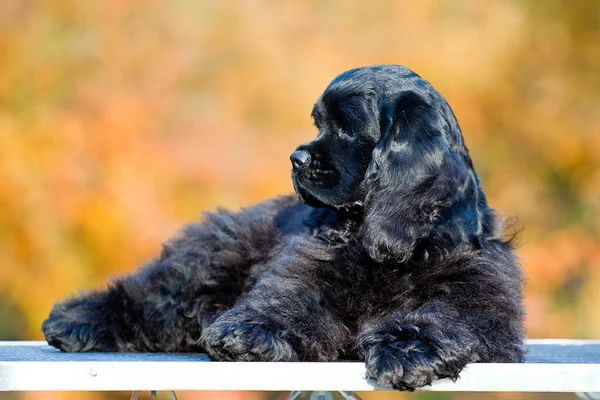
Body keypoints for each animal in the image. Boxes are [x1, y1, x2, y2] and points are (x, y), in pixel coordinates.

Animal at [42, 65, 524, 390]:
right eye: (319, 124)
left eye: (348, 129)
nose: (296, 157)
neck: (391, 249)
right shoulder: (304, 272)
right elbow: (289, 300)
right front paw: (250, 332)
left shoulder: (481, 302)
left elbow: (447, 316)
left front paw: (405, 348)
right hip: (210, 261)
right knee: (153, 295)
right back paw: (75, 320)